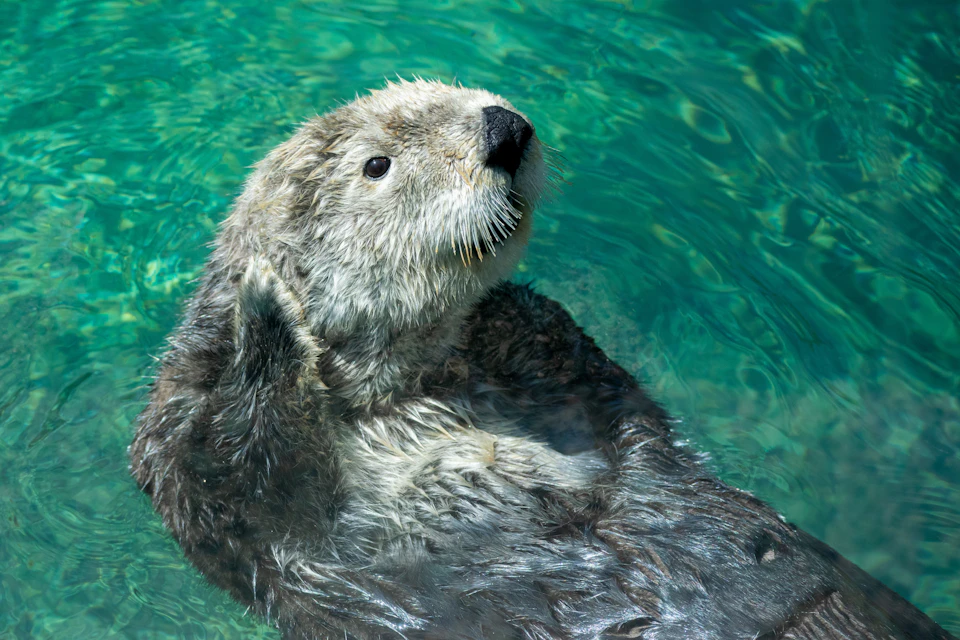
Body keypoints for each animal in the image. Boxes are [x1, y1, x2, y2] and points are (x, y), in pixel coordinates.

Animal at [130, 80, 955, 640]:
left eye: (453, 91)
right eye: (376, 165)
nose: (503, 128)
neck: (409, 389)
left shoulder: (558, 357)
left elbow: (610, 407)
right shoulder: (203, 475)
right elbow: (241, 467)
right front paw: (267, 312)